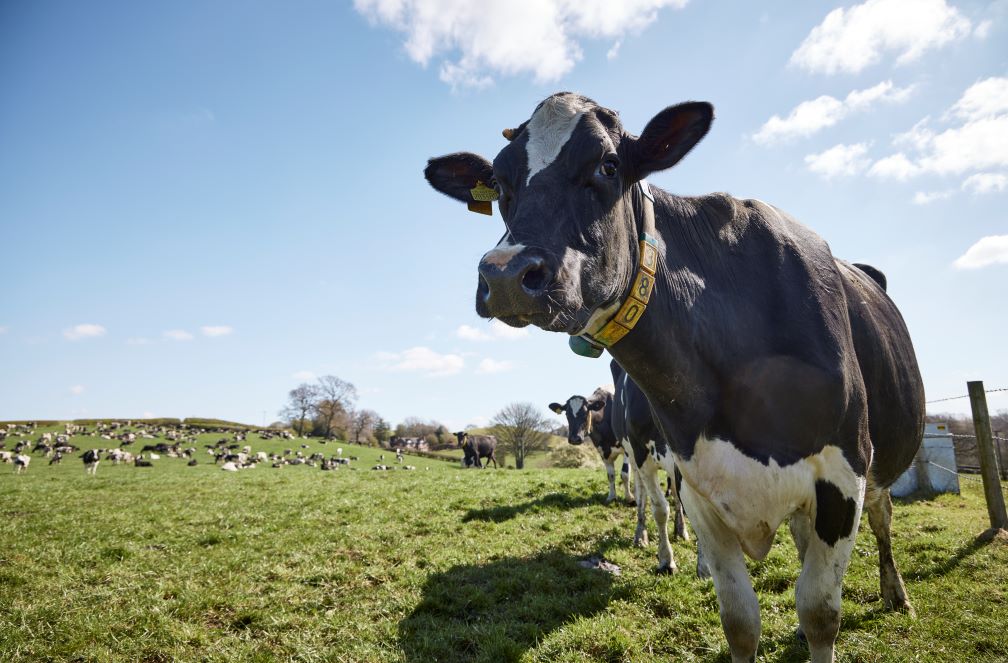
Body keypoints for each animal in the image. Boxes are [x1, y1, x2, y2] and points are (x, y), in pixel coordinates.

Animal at [424, 92, 924, 662]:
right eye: (501, 183)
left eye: (608, 165)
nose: (505, 275)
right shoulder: (693, 475)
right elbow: (737, 618)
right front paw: (669, 555)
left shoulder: (843, 476)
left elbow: (820, 613)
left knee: (882, 522)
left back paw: (896, 593)